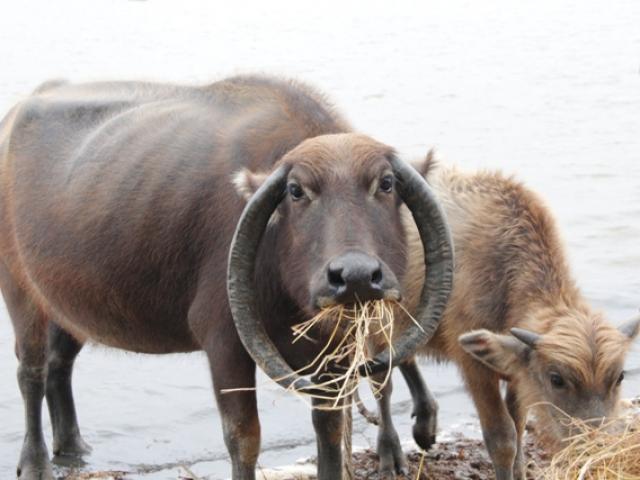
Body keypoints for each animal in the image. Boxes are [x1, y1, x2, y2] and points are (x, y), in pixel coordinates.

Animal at [0, 77, 456, 478]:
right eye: (296, 190)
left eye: (386, 183)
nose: (356, 275)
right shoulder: (224, 342)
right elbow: (243, 438)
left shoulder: (336, 355)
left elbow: (330, 432)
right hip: (19, 291)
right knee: (31, 373)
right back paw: (36, 462)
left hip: (64, 303)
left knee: (59, 365)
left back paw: (73, 446)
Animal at [364, 155, 640, 480]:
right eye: (557, 379)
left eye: (619, 376)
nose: (595, 446)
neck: (503, 271)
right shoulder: (474, 366)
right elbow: (502, 437)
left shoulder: (518, 372)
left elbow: (519, 426)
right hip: (371, 328)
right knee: (382, 384)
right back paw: (389, 453)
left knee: (405, 355)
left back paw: (425, 423)